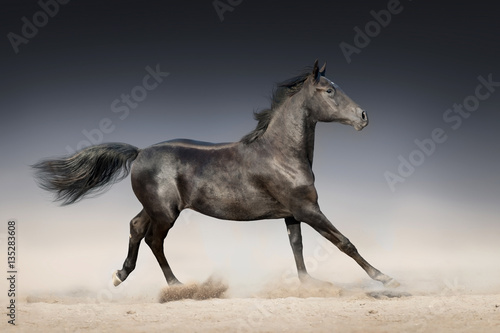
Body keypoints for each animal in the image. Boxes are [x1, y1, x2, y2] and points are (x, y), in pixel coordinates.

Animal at [32, 59, 398, 288]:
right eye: (329, 91)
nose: (363, 116)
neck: (280, 152)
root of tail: (139, 152)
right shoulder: (307, 208)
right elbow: (343, 241)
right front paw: (385, 277)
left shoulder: (292, 212)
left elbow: (297, 246)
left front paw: (309, 283)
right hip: (166, 213)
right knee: (153, 239)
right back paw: (176, 284)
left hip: (155, 207)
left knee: (136, 227)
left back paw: (120, 276)